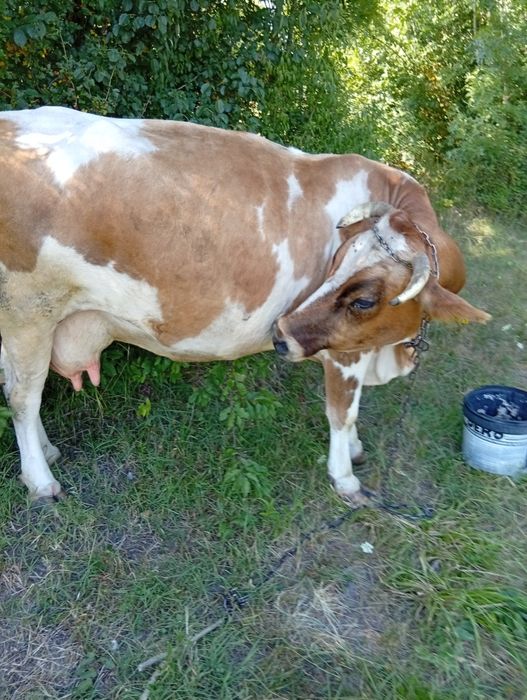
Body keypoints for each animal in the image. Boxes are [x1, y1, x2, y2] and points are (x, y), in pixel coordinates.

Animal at [0, 106, 490, 503]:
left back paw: (47, 451)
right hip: (28, 313)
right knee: (24, 396)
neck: (388, 353)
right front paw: (345, 476)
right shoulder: (344, 350)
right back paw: (41, 481)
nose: (281, 334)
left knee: (16, 387)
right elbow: (342, 409)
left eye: (365, 296)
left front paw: (353, 450)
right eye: (337, 265)